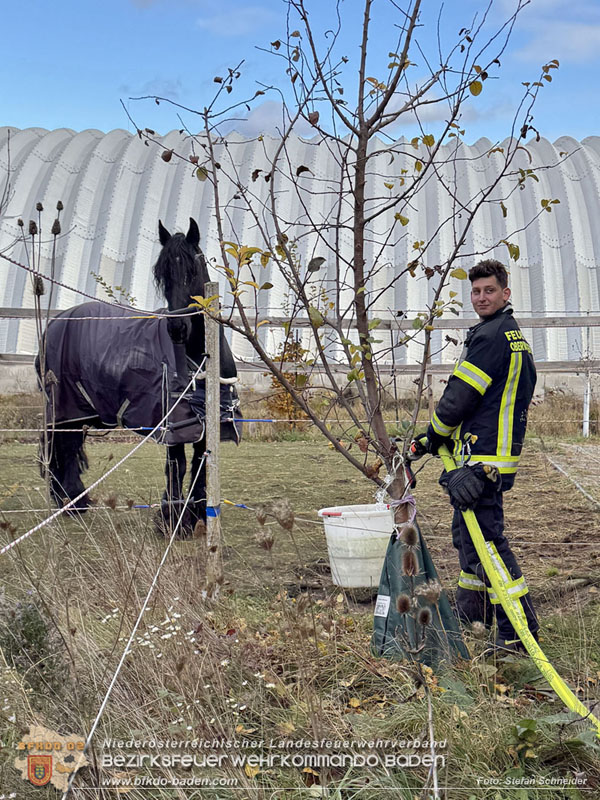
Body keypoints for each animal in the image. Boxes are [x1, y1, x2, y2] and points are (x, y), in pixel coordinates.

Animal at [36, 218, 242, 535]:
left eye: (192, 271)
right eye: (162, 274)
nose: (177, 328)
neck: (202, 359)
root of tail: (56, 322)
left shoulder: (204, 422)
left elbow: (200, 465)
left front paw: (196, 515)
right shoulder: (174, 423)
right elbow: (177, 466)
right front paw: (172, 520)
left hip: (77, 410)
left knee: (67, 446)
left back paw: (73, 502)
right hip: (64, 407)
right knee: (60, 445)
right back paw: (68, 502)